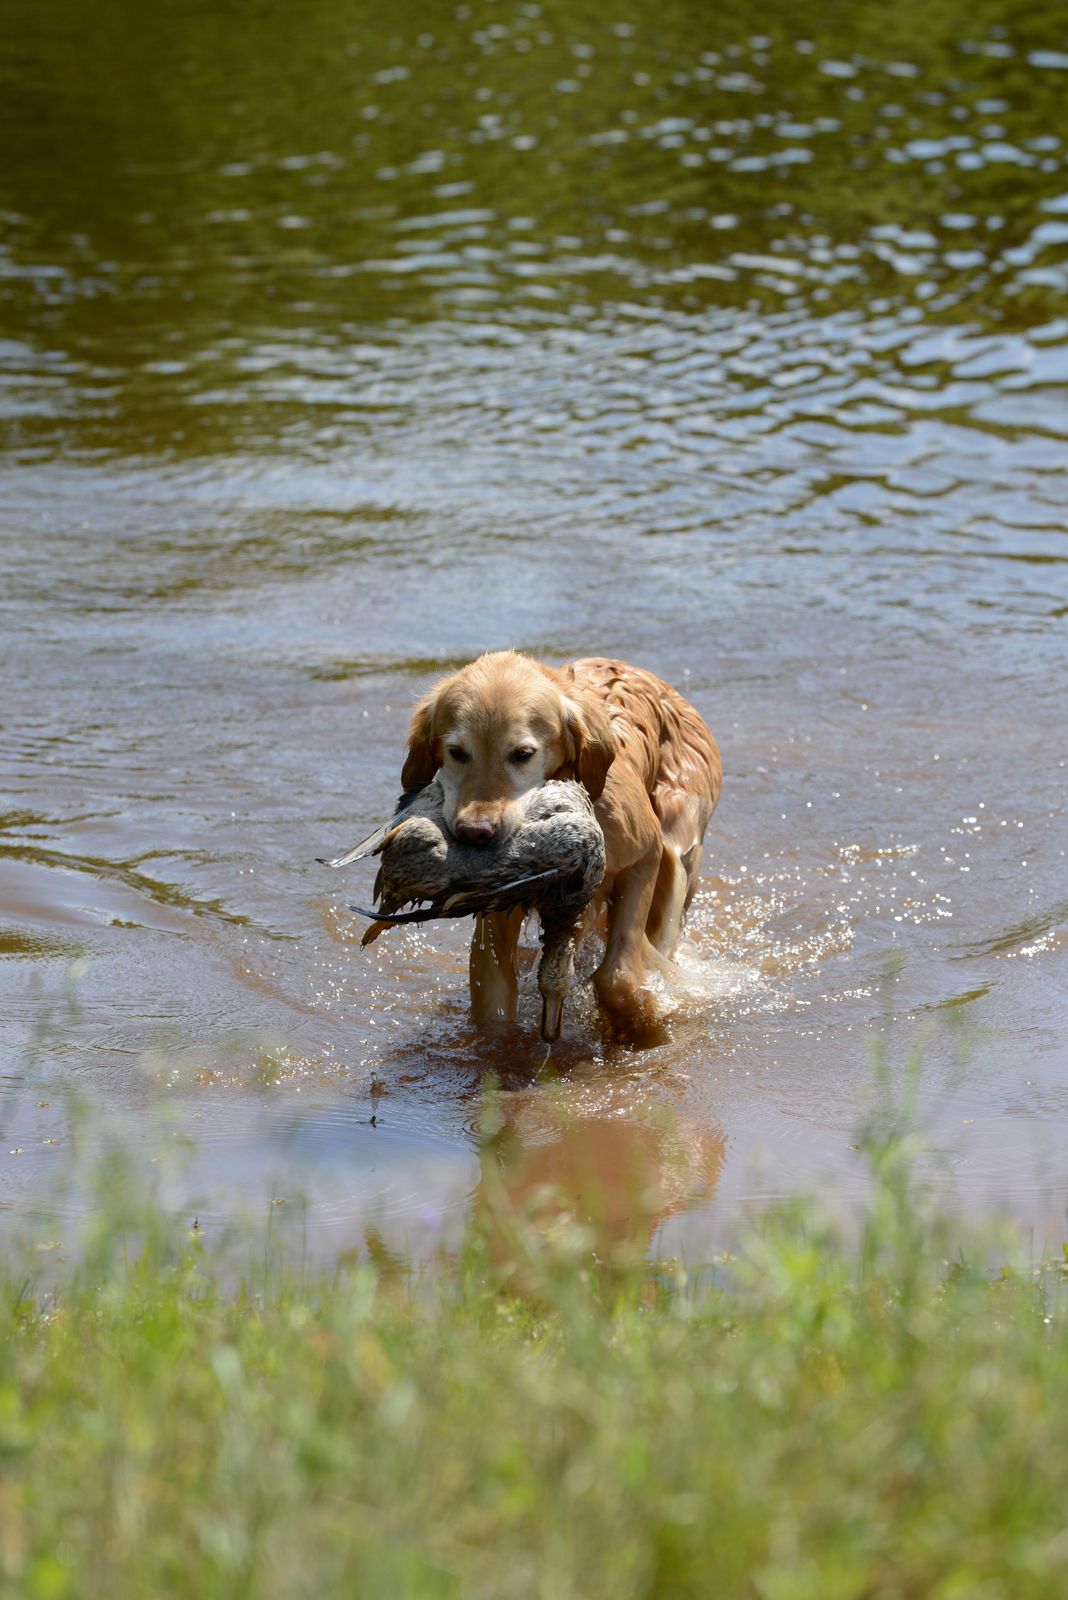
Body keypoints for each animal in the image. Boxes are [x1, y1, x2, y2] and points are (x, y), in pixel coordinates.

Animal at [400, 651, 722, 1038]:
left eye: (523, 753)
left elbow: (617, 978)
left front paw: (640, 1025)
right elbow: (493, 996)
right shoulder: (499, 903)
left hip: (679, 850)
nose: (475, 833)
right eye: (457, 752)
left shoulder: (644, 856)